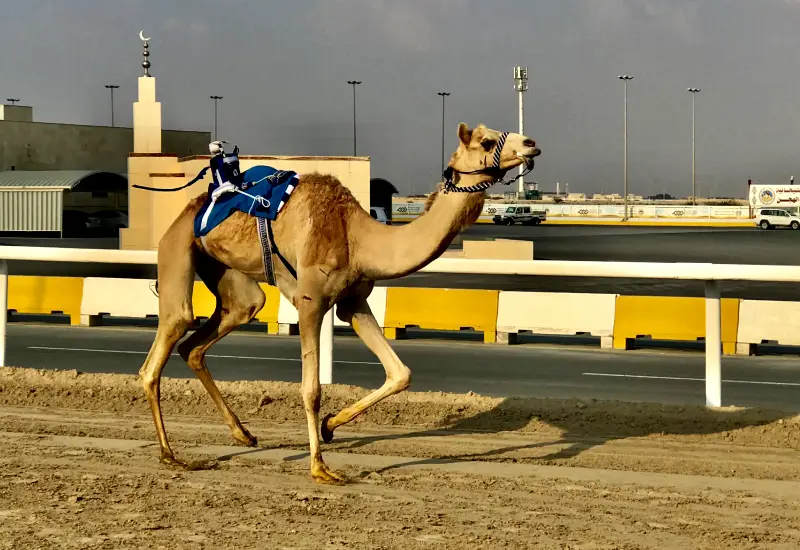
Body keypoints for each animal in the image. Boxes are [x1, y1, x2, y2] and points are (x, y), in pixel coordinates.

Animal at [137, 122, 541, 484]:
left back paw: (243, 433)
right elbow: (312, 389)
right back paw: (171, 455)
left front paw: (331, 427)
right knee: (167, 339)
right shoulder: (310, 300)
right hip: (176, 247)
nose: (531, 143)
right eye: (486, 141)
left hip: (229, 275)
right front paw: (320, 467)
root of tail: (190, 208)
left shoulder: (354, 301)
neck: (358, 237)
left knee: (213, 330)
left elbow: (400, 373)